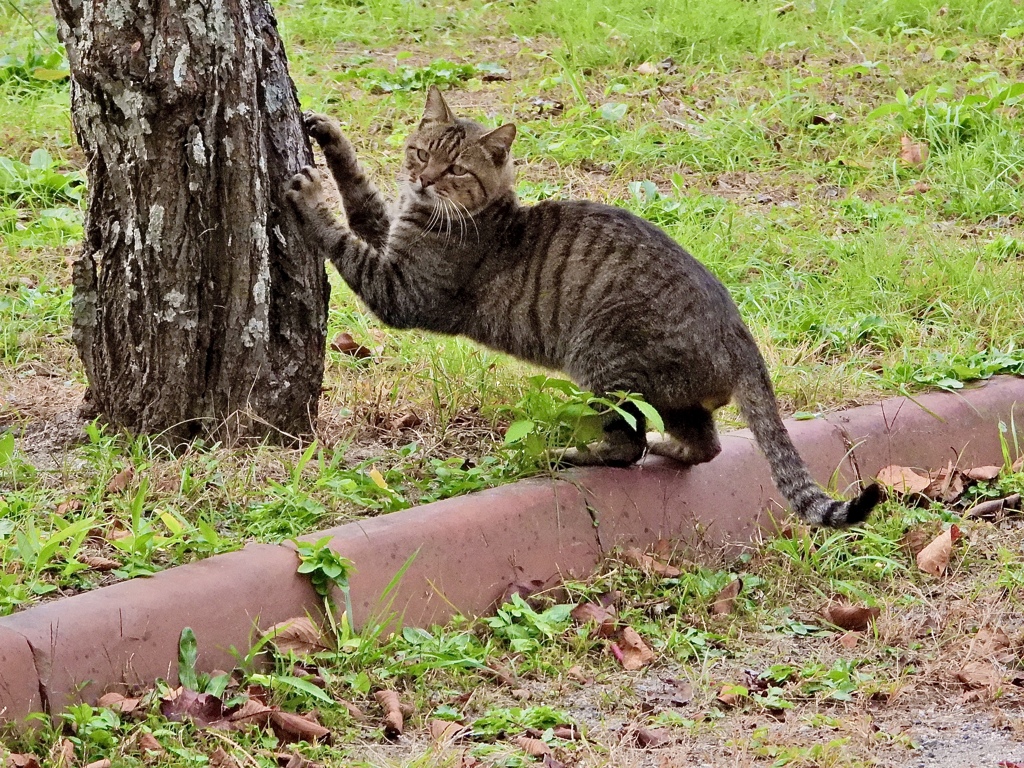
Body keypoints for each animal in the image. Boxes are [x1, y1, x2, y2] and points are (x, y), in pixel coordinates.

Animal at [288, 85, 880, 528]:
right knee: (703, 444)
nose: (422, 179)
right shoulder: (389, 235)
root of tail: (742, 339)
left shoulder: (402, 290)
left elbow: (341, 236)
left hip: (605, 363)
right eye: (421, 152)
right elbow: (360, 194)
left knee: (628, 448)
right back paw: (670, 448)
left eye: (455, 169)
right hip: (670, 396)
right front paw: (330, 135)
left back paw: (573, 455)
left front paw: (308, 198)